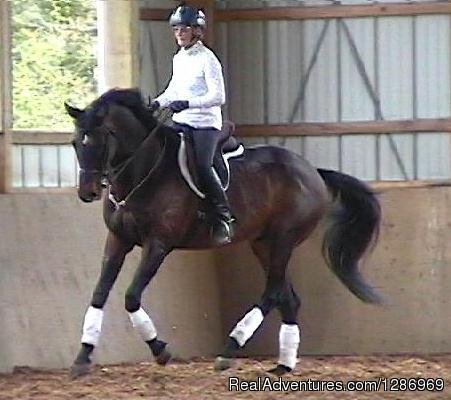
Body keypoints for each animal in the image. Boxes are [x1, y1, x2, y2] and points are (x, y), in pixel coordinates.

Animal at [64, 88, 382, 378]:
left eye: (100, 141)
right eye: (76, 143)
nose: (87, 193)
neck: (144, 173)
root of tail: (313, 171)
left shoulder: (158, 244)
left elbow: (131, 296)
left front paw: (160, 350)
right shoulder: (118, 239)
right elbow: (99, 294)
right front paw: (82, 358)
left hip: (284, 238)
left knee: (273, 292)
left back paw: (230, 349)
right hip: (262, 243)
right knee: (287, 296)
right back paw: (283, 365)